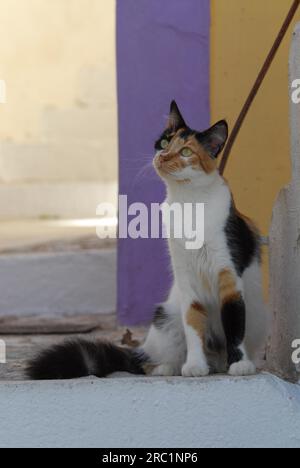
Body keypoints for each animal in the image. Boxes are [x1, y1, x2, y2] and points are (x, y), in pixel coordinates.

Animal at [27, 101, 268, 380]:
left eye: (186, 151)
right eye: (164, 143)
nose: (162, 157)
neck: (189, 201)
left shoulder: (228, 276)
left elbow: (234, 325)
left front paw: (239, 363)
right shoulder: (186, 279)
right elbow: (193, 324)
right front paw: (194, 365)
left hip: (255, 316)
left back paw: (223, 363)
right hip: (167, 317)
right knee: (142, 364)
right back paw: (168, 368)